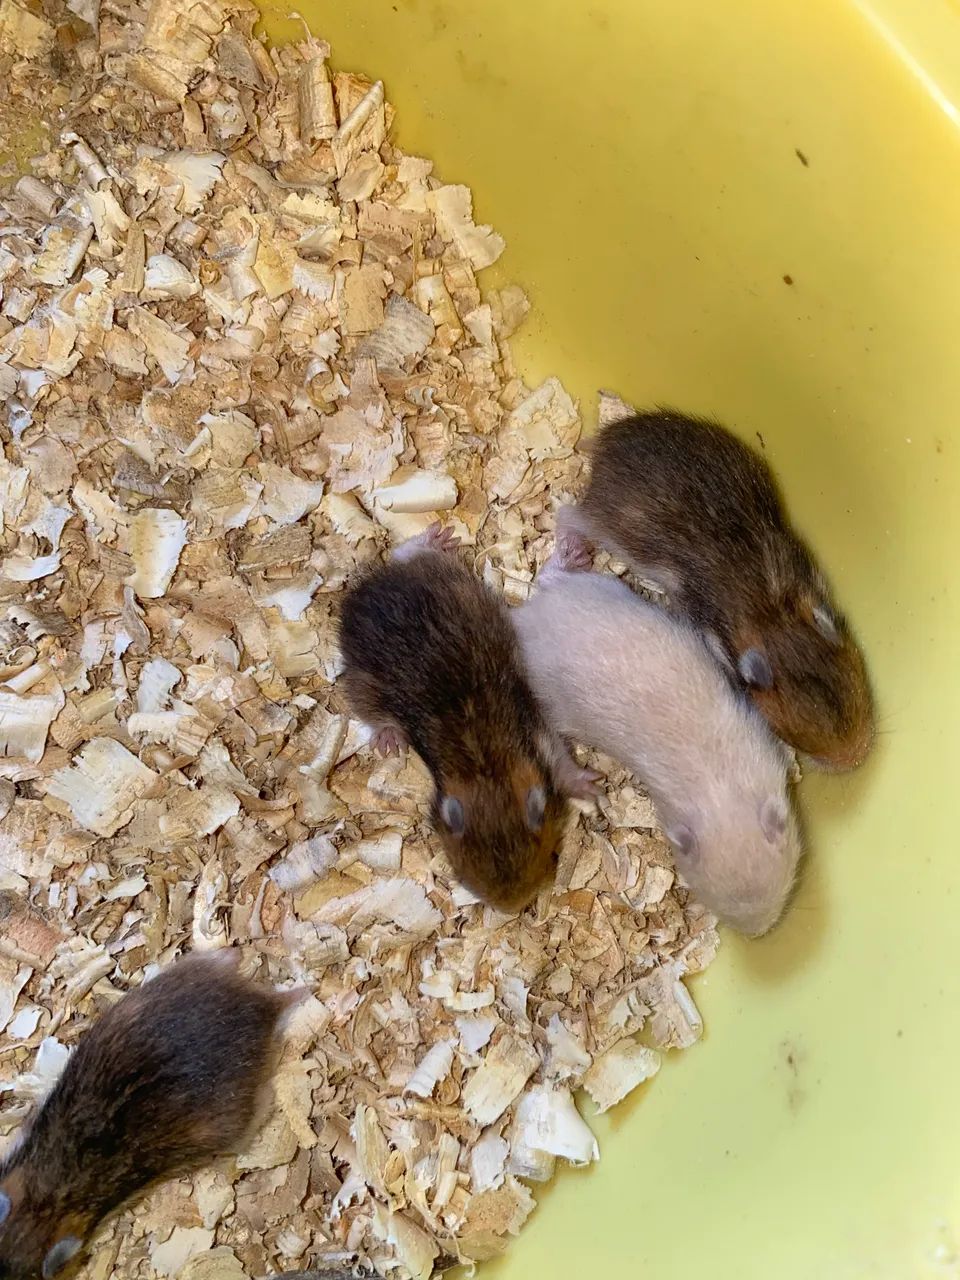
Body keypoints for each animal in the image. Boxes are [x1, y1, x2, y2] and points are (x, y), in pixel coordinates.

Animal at [338, 524, 596, 912]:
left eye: (550, 857)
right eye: (462, 878)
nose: (511, 908)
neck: (485, 768)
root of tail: (363, 591)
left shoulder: (537, 729)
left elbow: (565, 766)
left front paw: (590, 786)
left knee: (406, 553)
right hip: (363, 681)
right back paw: (389, 740)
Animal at [512, 549, 802, 935]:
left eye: (780, 884)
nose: (757, 934)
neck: (719, 793)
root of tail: (518, 625)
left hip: (594, 589)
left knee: (550, 578)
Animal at [559, 408, 874, 770]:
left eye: (865, 702)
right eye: (802, 745)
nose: (856, 759)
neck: (770, 612)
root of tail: (606, 441)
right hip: (600, 521)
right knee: (566, 513)